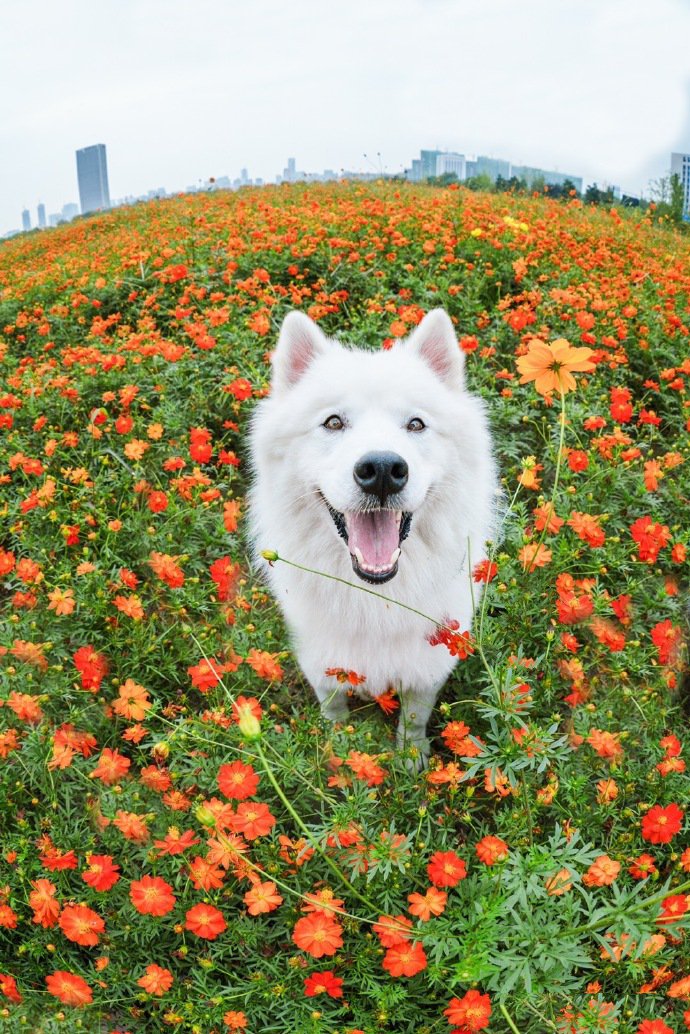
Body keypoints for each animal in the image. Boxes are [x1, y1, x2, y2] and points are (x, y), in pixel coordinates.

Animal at [248, 306, 496, 761]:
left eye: (416, 424)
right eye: (333, 422)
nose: (382, 469)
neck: (376, 596)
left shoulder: (428, 664)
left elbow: (414, 717)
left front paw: (411, 758)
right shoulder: (322, 661)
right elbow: (334, 709)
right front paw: (338, 750)